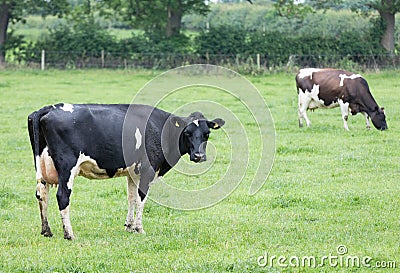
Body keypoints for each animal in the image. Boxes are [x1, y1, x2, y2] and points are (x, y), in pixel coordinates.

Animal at [27, 103, 225, 239]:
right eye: (187, 133)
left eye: (207, 134)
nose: (199, 156)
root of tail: (47, 109)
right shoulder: (147, 170)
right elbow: (141, 199)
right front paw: (139, 228)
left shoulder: (132, 172)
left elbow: (131, 197)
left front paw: (129, 226)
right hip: (67, 167)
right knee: (62, 195)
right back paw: (69, 234)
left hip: (42, 168)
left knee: (41, 194)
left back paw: (46, 231)